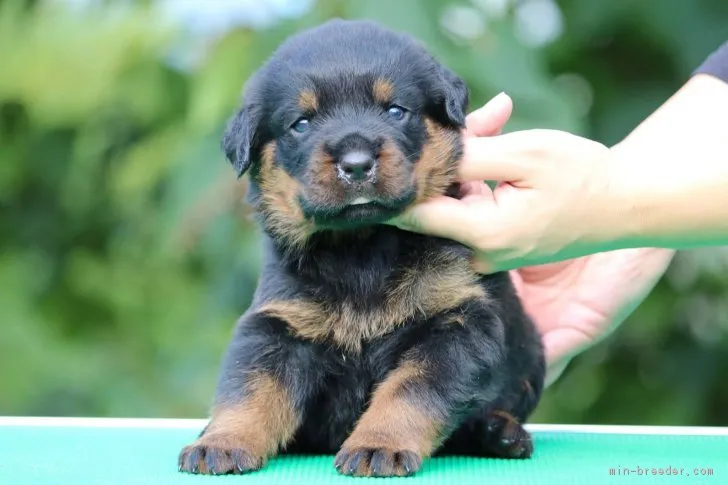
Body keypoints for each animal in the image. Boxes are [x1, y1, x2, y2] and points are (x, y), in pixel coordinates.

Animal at [179, 18, 544, 476]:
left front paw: (378, 445)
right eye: (301, 123)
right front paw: (222, 440)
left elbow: (410, 391)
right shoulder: (279, 325)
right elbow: (251, 389)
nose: (355, 163)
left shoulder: (457, 322)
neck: (361, 249)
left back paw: (499, 431)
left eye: (395, 111)